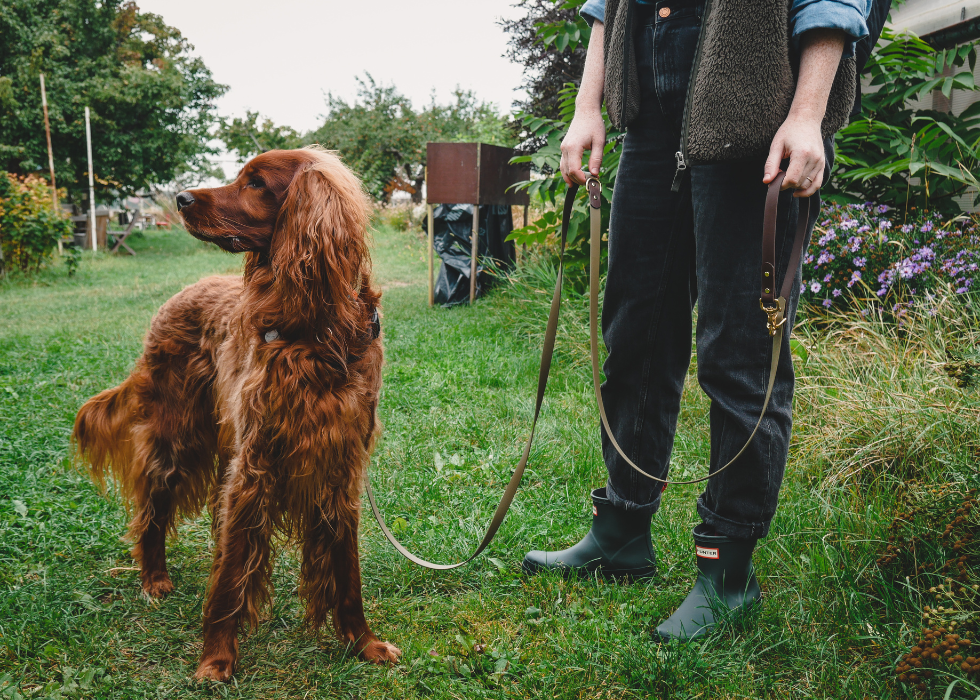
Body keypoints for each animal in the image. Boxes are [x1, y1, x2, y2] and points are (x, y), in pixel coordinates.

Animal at [72, 146, 402, 680]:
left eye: (257, 183)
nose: (181, 198)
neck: (316, 332)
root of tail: (180, 294)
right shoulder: (256, 463)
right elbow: (230, 577)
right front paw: (216, 658)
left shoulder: (340, 466)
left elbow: (346, 568)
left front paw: (362, 642)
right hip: (177, 436)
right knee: (153, 508)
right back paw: (154, 578)